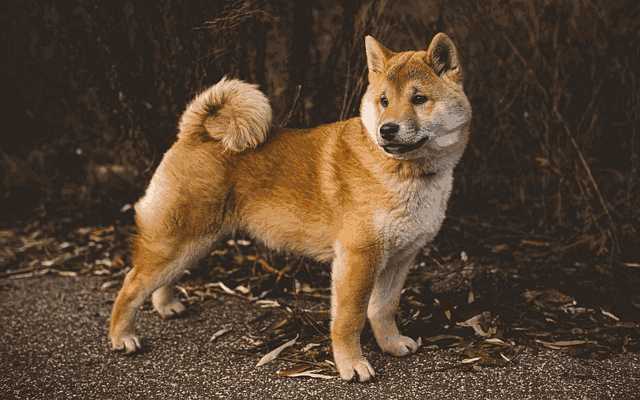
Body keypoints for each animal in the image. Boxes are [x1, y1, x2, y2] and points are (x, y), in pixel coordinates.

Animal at [109, 33, 470, 382]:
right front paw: (352, 365)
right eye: (384, 101)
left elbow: (383, 308)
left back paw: (167, 305)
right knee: (132, 284)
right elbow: (350, 319)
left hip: (197, 243)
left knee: (161, 279)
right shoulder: (358, 258)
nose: (387, 129)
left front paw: (391, 344)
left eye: (418, 99)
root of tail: (195, 133)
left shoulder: (399, 258)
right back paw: (122, 336)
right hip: (179, 240)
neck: (404, 172)